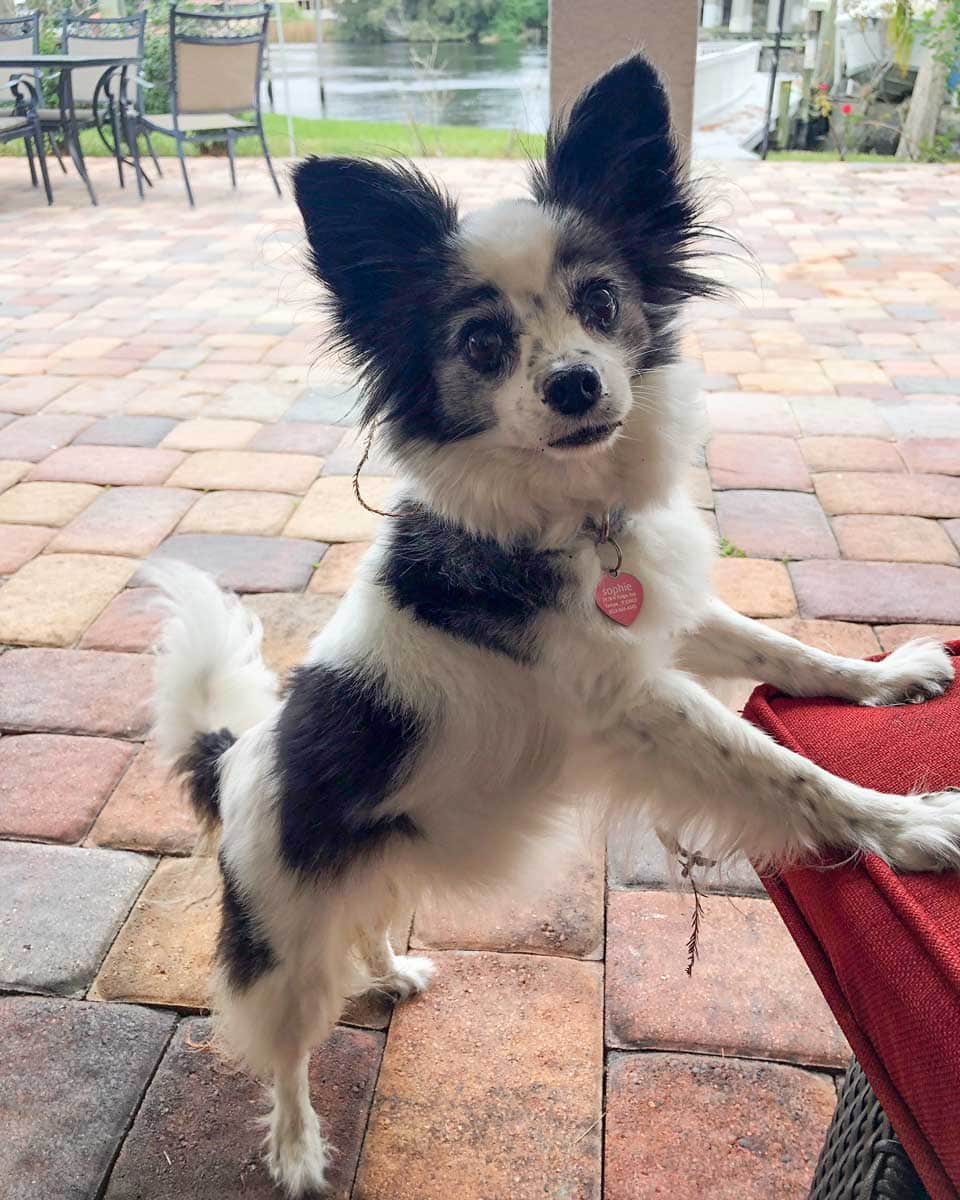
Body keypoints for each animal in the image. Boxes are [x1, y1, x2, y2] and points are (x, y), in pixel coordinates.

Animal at [146, 56, 955, 1200]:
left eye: (601, 301)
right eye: (483, 343)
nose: (575, 382)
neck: (574, 517)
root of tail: (232, 759)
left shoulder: (665, 615)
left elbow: (782, 649)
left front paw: (887, 677)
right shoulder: (634, 705)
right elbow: (781, 769)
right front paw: (907, 825)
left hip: (376, 871)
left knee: (366, 926)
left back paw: (390, 972)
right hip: (285, 944)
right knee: (290, 1052)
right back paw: (298, 1153)